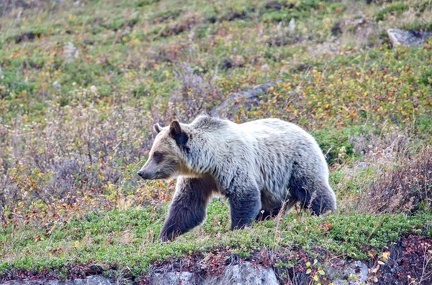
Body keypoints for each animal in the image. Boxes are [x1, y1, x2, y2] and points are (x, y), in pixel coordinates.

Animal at [138, 114, 338, 241]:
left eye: (157, 154)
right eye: (152, 152)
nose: (142, 172)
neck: (208, 162)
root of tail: (305, 131)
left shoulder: (234, 164)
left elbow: (244, 196)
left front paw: (237, 228)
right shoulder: (198, 179)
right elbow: (187, 207)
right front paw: (164, 236)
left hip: (296, 164)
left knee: (313, 190)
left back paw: (326, 212)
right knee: (273, 206)